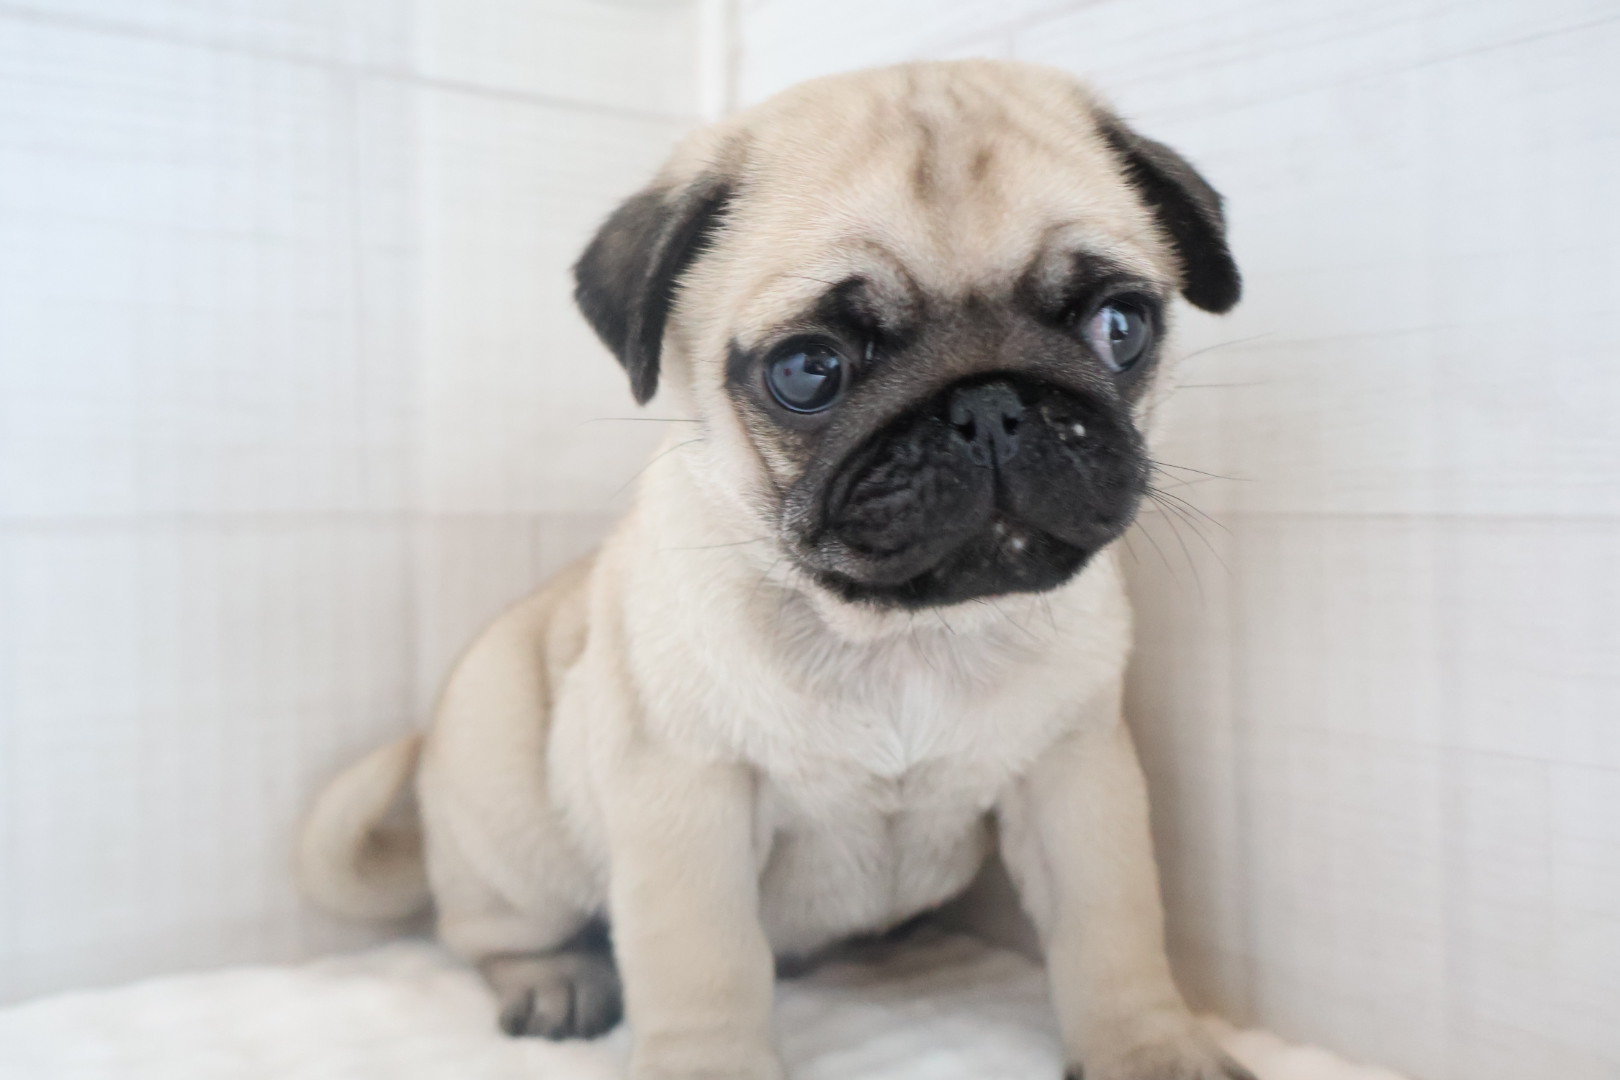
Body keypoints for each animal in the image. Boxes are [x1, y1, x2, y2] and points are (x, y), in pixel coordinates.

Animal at [300, 59, 1250, 1080]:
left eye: (1120, 326)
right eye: (808, 371)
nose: (989, 404)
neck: (901, 635)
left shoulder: (1075, 778)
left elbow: (1113, 929)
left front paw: (1150, 1047)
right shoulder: (687, 794)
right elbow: (704, 964)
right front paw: (709, 1061)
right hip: (512, 827)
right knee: (487, 933)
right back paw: (555, 979)